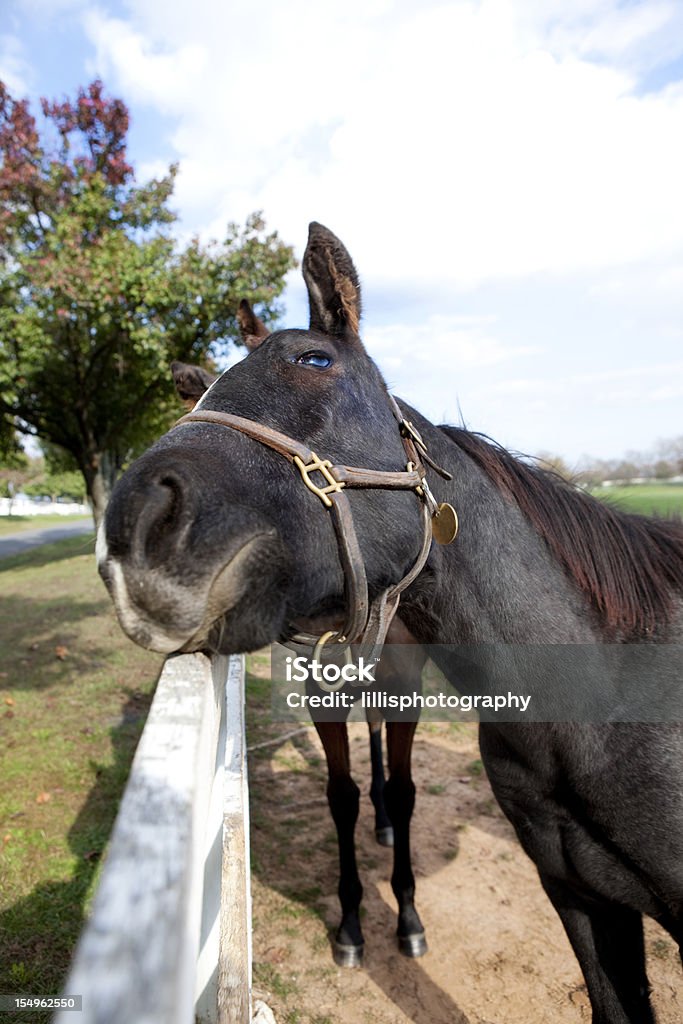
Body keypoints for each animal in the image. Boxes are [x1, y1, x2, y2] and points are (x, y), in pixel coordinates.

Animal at [97, 220, 683, 1019]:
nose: (134, 526)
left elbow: (402, 793)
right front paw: (350, 922)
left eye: (312, 359)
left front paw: (405, 917)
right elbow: (340, 796)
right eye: (196, 397)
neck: (598, 704)